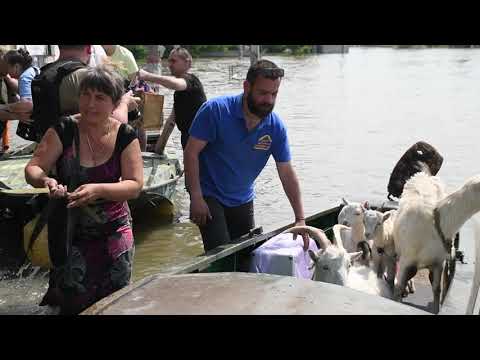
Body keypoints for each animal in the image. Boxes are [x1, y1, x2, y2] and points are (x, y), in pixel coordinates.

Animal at [392, 171, 480, 312]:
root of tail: (423, 174)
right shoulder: (407, 259)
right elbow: (398, 289)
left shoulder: (439, 263)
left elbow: (437, 289)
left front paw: (436, 309)